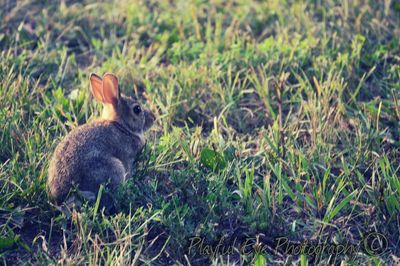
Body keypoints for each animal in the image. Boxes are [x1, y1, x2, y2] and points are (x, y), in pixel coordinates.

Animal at [46, 72, 154, 206]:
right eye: (137, 109)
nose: (153, 117)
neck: (121, 126)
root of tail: (62, 194)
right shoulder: (127, 159)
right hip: (113, 168)